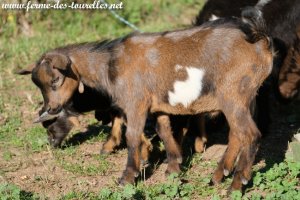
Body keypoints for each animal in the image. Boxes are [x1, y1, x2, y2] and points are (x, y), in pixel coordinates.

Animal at [19, 7, 274, 191]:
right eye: (39, 85)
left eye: (55, 80)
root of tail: (260, 40)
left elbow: (132, 137)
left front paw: (127, 178)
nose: (51, 108)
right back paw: (218, 176)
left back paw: (236, 185)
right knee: (237, 134)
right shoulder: (157, 105)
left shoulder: (136, 103)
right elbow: (164, 130)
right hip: (245, 97)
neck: (111, 63)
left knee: (250, 134)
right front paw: (173, 168)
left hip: (233, 94)